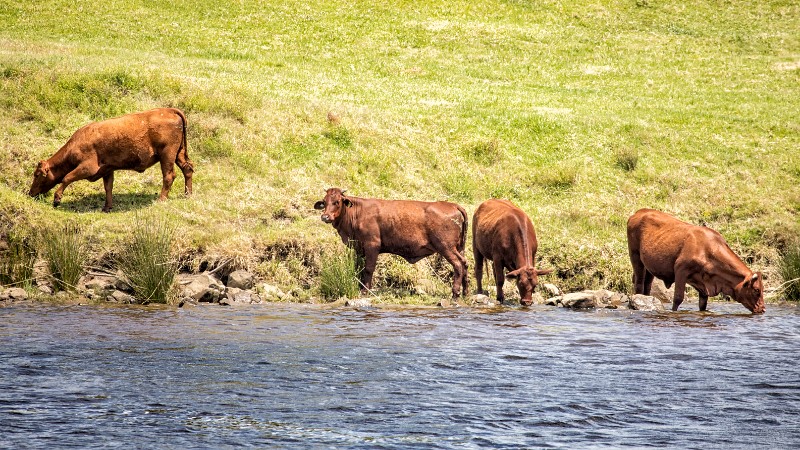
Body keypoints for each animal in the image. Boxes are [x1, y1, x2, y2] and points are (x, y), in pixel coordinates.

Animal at [28, 109, 194, 214]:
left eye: (37, 175)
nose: (30, 193)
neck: (75, 144)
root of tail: (169, 110)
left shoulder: (88, 167)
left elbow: (66, 177)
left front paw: (57, 199)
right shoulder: (107, 170)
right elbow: (108, 187)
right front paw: (107, 207)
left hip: (167, 155)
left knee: (169, 176)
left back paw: (161, 199)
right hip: (179, 154)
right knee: (188, 169)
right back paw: (188, 194)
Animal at [314, 188, 468, 300]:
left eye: (337, 202)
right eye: (324, 201)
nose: (325, 216)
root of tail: (453, 205)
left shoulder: (372, 245)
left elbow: (368, 269)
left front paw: (365, 291)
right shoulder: (359, 248)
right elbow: (359, 267)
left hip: (446, 247)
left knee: (458, 265)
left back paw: (455, 293)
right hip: (459, 247)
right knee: (465, 264)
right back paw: (465, 292)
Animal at [628, 209, 764, 314]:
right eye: (756, 290)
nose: (762, 309)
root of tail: (639, 212)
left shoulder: (704, 283)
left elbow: (703, 304)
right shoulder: (681, 270)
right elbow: (678, 298)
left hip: (649, 266)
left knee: (647, 286)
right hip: (635, 257)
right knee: (639, 284)